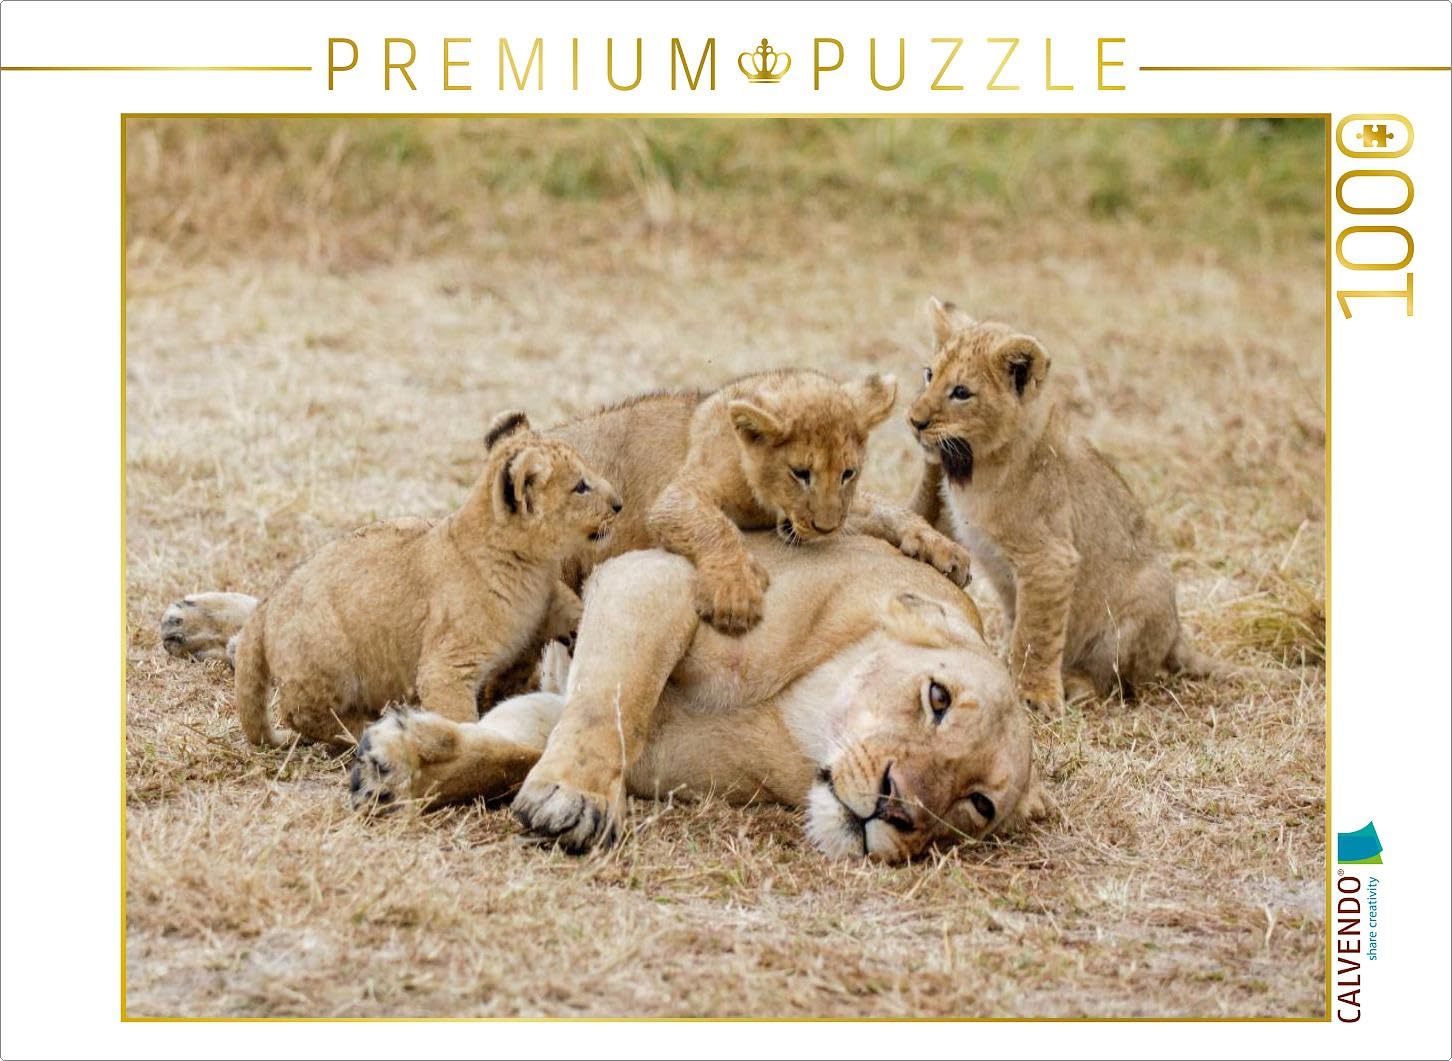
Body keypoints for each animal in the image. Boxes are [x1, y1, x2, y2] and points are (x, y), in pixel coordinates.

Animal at [225, 410, 621, 747]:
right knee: (302, 716)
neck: (530, 567)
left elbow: (576, 610)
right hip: (329, 663)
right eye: (580, 486)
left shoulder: (547, 602)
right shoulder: (446, 665)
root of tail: (267, 604)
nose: (619, 504)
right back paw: (365, 726)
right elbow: (458, 714)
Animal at [906, 297, 1231, 712]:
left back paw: (1077, 683)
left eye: (961, 392)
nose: (915, 420)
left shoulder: (1050, 559)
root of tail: (1176, 635)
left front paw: (1035, 696)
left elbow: (1035, 635)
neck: (979, 466)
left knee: (1116, 680)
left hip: (1138, 606)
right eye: (929, 374)